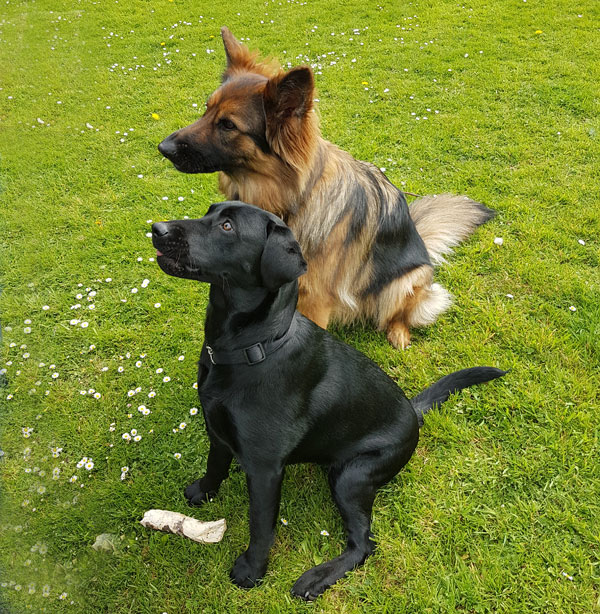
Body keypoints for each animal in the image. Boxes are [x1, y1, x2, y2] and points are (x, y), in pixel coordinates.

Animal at [158, 27, 492, 352]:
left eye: (228, 125)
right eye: (206, 110)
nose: (163, 148)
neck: (290, 200)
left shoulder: (315, 300)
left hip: (405, 281)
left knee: (401, 312)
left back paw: (398, 332)